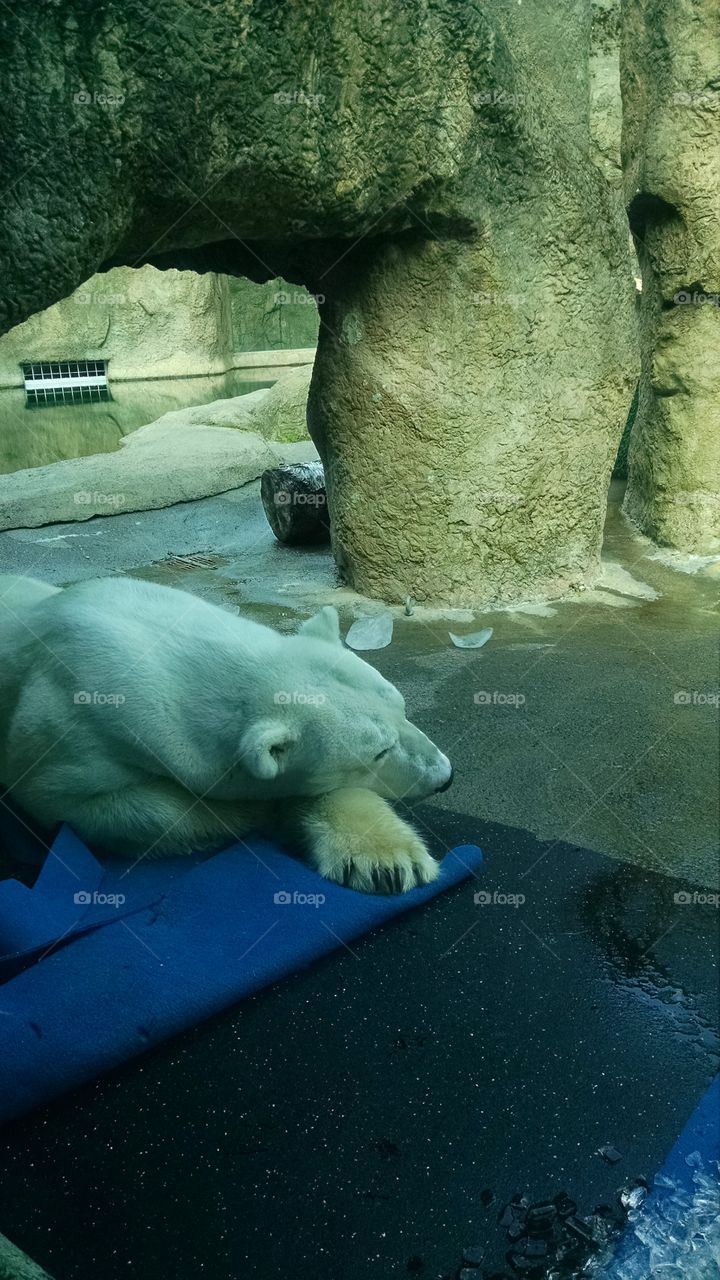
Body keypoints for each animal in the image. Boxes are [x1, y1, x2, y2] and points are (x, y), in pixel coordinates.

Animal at [0, 574, 453, 893]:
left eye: (404, 710)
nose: (445, 777)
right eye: (379, 752)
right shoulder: (65, 737)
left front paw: (387, 861)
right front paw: (256, 811)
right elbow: (82, 804)